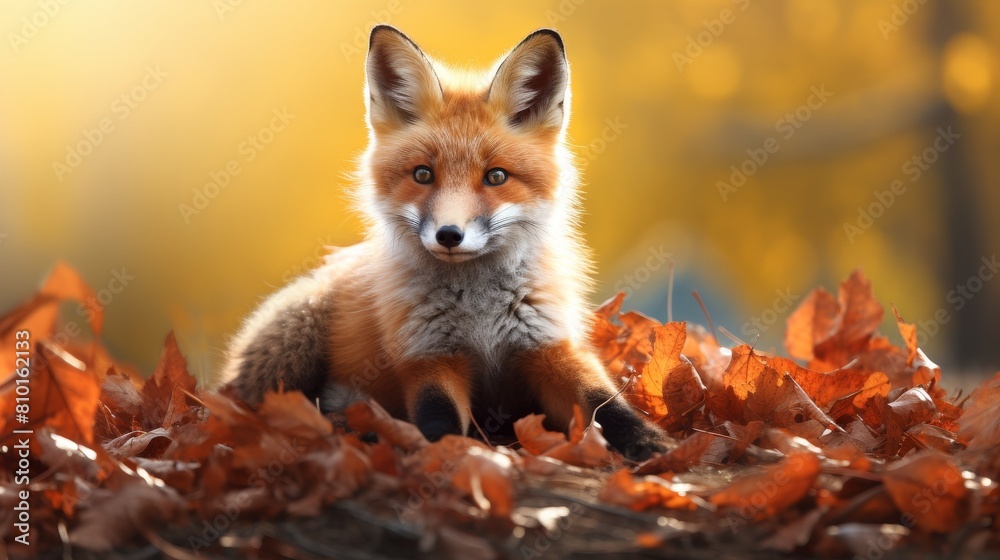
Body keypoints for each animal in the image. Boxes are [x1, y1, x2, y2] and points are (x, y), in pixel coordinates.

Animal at [219, 25, 667, 460]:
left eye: (496, 177)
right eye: (422, 174)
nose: (449, 235)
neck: (480, 312)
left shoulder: (549, 347)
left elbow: (601, 401)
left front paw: (648, 441)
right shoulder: (429, 356)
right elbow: (438, 414)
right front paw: (448, 455)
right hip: (298, 334)